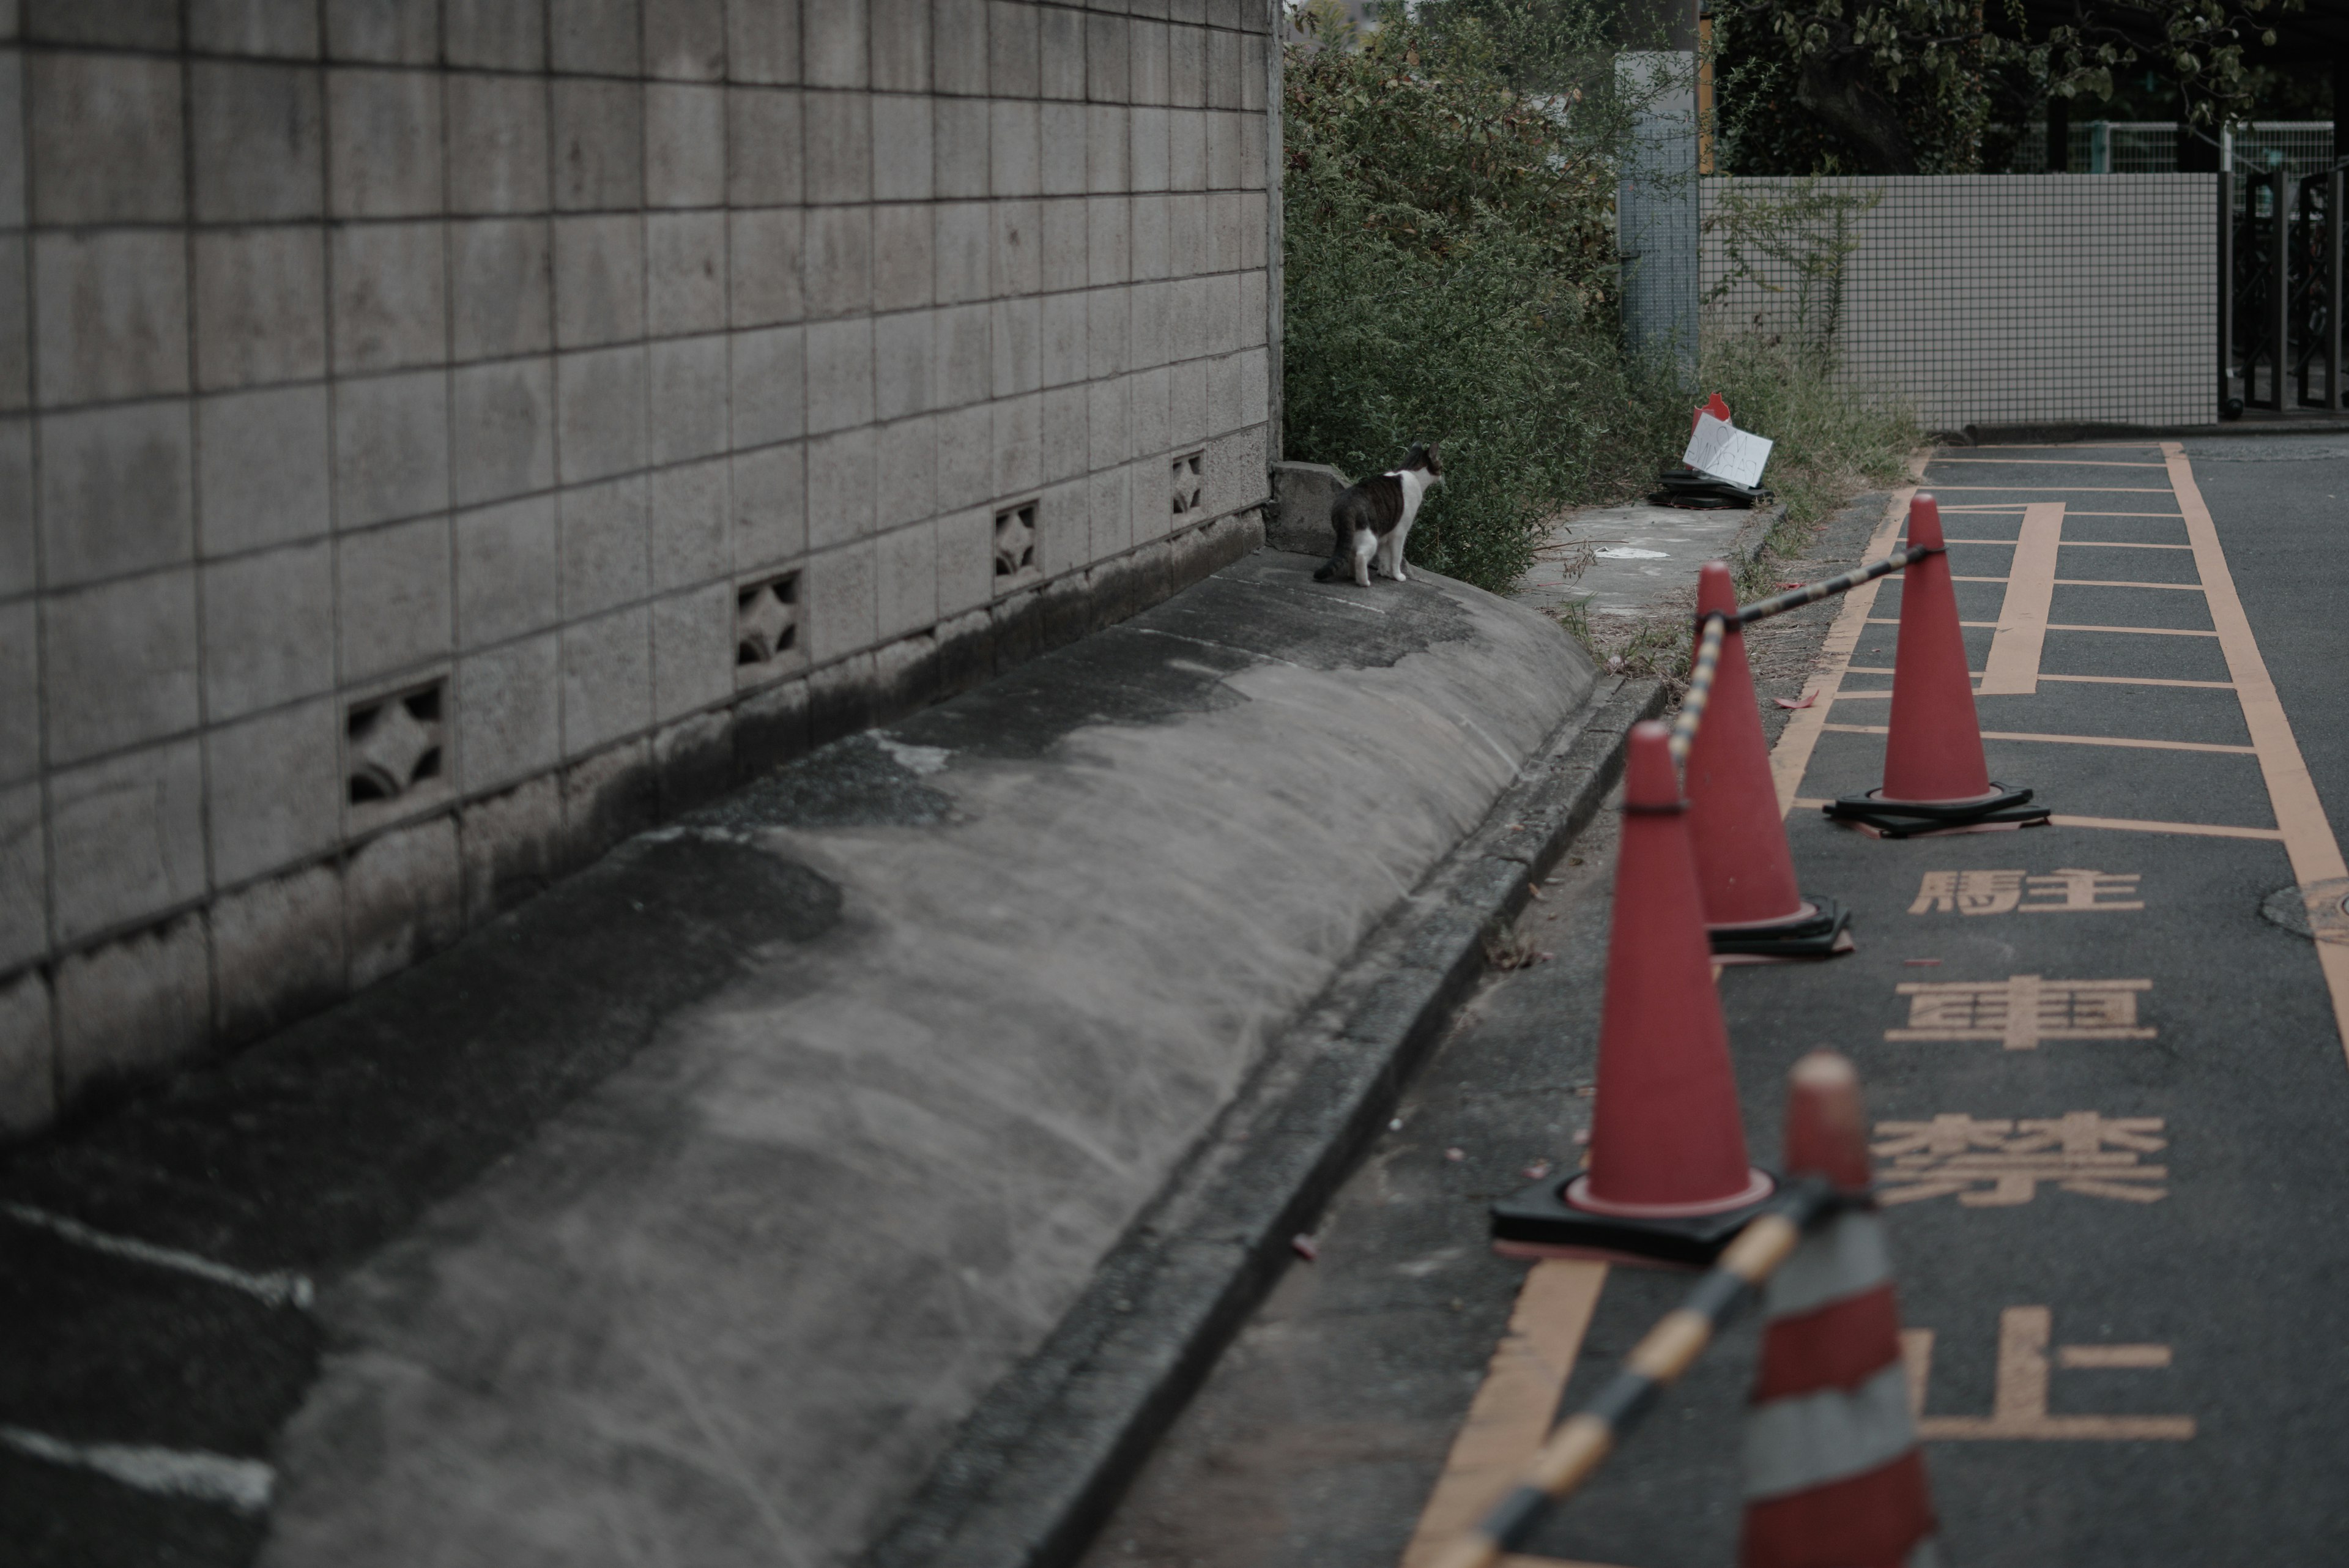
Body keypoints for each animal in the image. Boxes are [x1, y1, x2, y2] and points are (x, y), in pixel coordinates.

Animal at [1315, 442, 1438, 587]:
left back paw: (1353, 575)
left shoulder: (1385, 534)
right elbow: (1396, 557)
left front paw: (1384, 573)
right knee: (1361, 555)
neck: (1411, 471)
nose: (1443, 474)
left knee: (1351, 553)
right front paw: (1398, 576)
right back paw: (1364, 582)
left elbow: (1384, 557)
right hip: (1370, 536)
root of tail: (1346, 504)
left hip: (1353, 534)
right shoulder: (1399, 533)